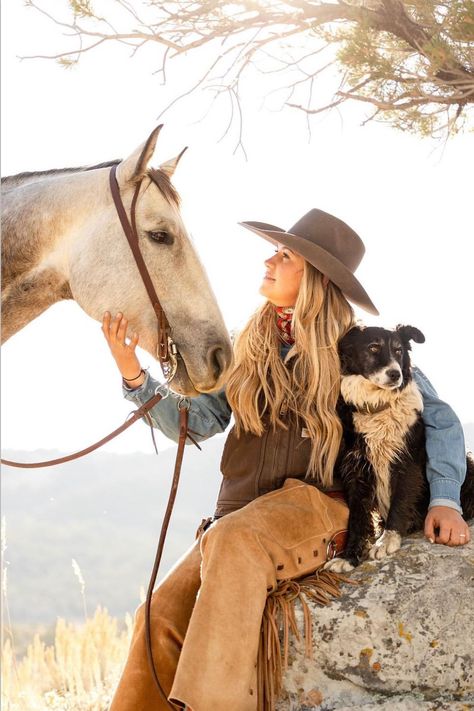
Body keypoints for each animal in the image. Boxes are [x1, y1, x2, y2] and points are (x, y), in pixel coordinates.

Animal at [326, 326, 474, 576]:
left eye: (398, 350)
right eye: (373, 348)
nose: (395, 374)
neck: (377, 406)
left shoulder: (406, 463)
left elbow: (399, 503)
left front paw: (387, 541)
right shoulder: (356, 471)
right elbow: (357, 519)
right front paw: (349, 557)